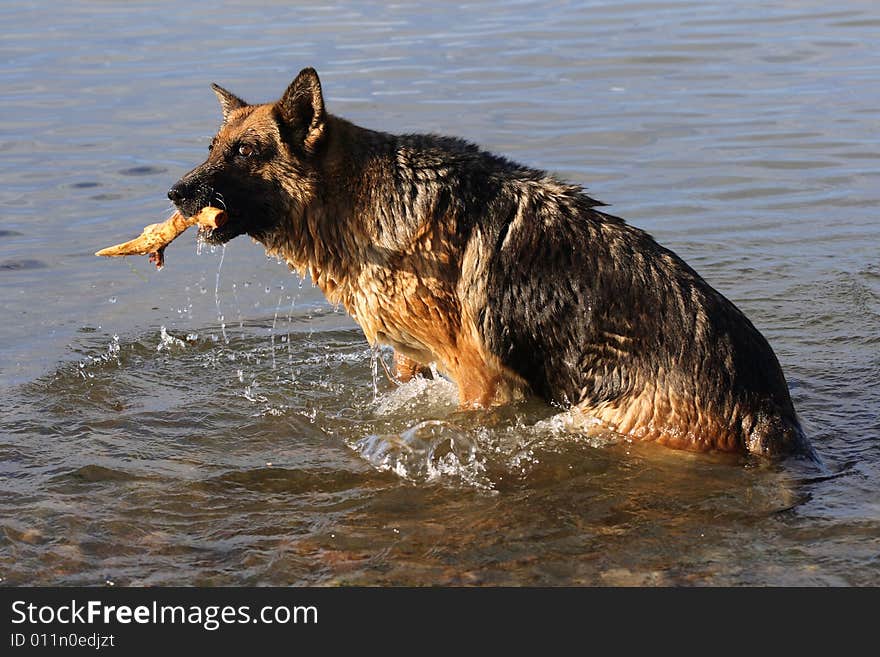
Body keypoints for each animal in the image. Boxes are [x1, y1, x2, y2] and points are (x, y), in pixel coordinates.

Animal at [168, 68, 808, 456]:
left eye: (244, 152)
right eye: (211, 149)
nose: (175, 194)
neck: (359, 201)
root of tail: (765, 401)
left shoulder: (478, 379)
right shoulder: (413, 361)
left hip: (603, 417)